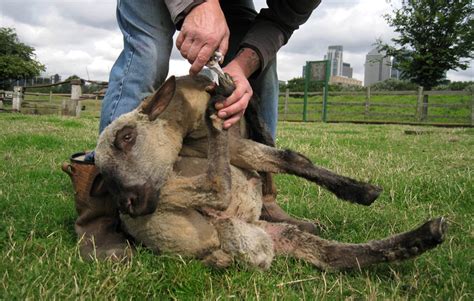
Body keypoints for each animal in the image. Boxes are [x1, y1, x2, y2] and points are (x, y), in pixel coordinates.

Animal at [94, 75, 446, 270]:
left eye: (127, 138)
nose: (127, 204)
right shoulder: (226, 146)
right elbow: (288, 158)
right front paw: (360, 191)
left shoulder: (240, 129)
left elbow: (286, 155)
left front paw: (358, 191)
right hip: (194, 208)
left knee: (327, 255)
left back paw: (420, 239)